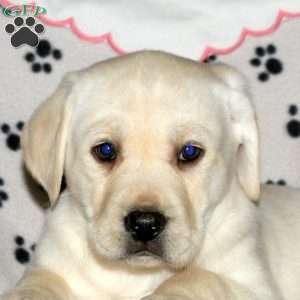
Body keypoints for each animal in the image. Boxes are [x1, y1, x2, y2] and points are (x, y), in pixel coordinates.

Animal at [1, 51, 300, 300]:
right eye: (105, 150)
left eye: (190, 152)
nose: (145, 224)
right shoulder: (52, 266)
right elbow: (38, 283)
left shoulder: (253, 287)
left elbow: (196, 277)